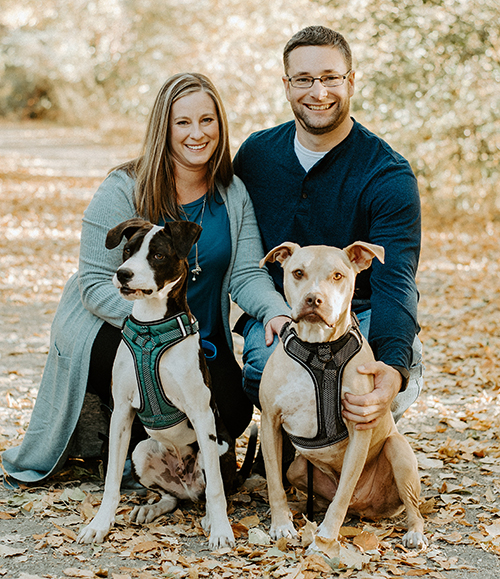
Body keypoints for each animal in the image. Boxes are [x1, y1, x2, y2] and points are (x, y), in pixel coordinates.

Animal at [77, 216, 236, 548]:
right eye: (127, 250)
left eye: (158, 255)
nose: (123, 274)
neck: (151, 327)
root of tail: (185, 483)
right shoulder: (121, 413)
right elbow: (111, 480)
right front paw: (99, 524)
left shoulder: (202, 415)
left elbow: (216, 489)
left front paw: (222, 531)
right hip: (141, 451)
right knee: (172, 498)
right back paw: (152, 508)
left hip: (218, 450)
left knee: (211, 491)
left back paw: (210, 519)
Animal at [258, 241, 426, 552]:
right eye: (298, 273)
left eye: (337, 276)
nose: (313, 299)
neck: (319, 350)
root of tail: (366, 509)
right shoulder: (269, 422)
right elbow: (275, 481)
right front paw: (282, 524)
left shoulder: (360, 427)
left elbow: (344, 492)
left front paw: (324, 541)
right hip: (297, 468)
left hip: (398, 452)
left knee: (412, 507)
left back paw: (415, 532)